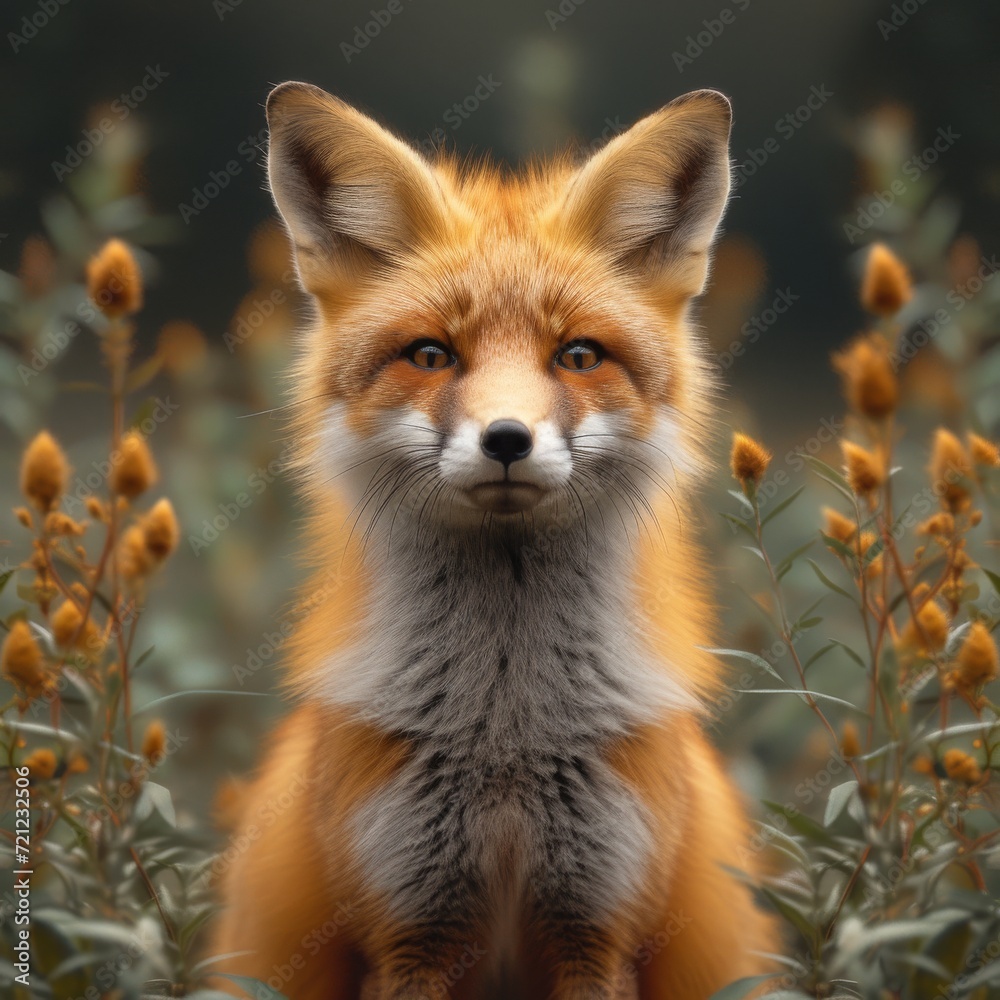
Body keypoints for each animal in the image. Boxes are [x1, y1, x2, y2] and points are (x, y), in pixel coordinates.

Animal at [210, 81, 778, 999]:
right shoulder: (409, 929)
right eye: (431, 354)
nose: (507, 438)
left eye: (578, 355)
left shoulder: (599, 927)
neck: (505, 740)